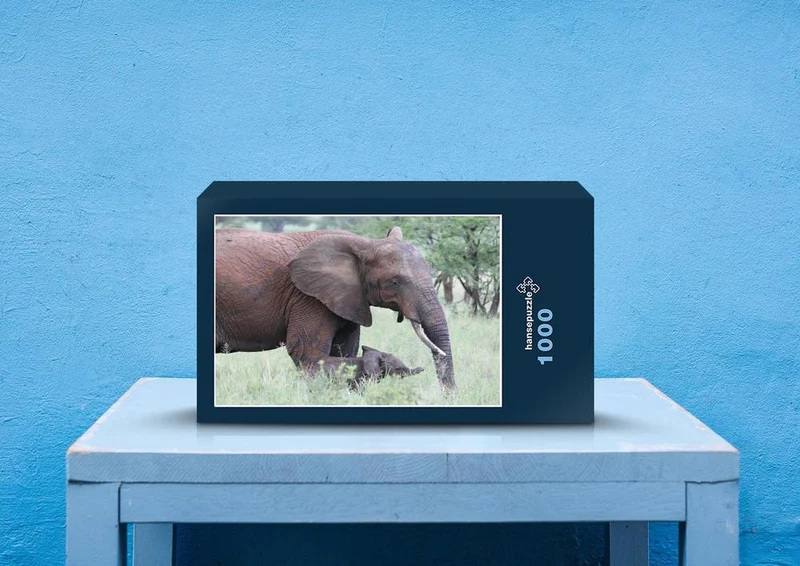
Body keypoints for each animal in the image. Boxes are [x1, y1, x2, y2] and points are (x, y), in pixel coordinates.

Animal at [214, 225, 456, 388]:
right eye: (395, 282)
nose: (449, 396)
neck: (365, 243)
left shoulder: (348, 298)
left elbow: (345, 350)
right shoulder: (308, 297)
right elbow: (308, 354)